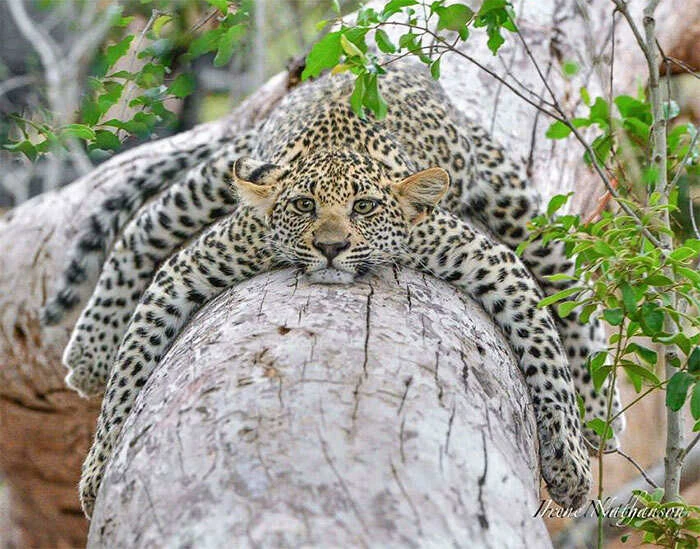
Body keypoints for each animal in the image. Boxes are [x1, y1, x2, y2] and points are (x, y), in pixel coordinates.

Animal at [45, 61, 625, 518]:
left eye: (364, 207)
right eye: (303, 205)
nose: (330, 247)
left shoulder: (490, 259)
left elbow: (545, 353)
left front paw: (569, 460)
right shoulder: (198, 263)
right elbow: (129, 369)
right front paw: (98, 470)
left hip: (516, 205)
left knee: (569, 289)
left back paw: (600, 412)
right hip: (225, 175)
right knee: (144, 224)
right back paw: (90, 351)